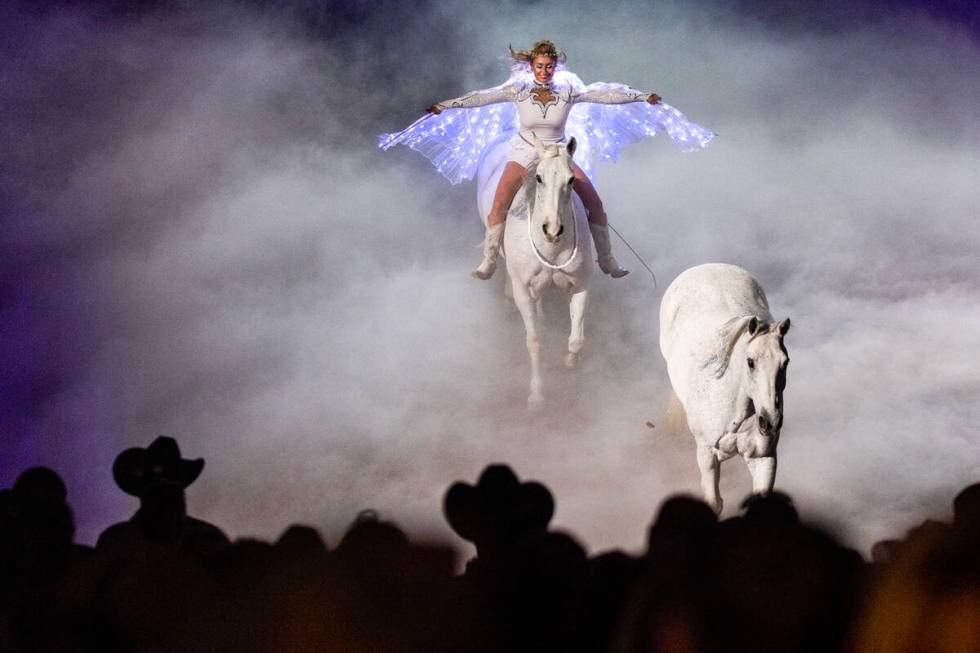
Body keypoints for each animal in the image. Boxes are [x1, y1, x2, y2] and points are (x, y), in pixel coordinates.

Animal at [476, 134, 592, 404]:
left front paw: (570, 361)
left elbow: (576, 339)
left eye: (571, 179)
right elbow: (534, 341)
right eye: (539, 177)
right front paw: (537, 396)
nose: (552, 229)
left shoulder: (581, 285)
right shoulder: (523, 290)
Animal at [660, 262, 788, 512]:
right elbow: (714, 502)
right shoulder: (707, 457)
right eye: (750, 362)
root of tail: (707, 266)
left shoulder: (764, 458)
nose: (770, 422)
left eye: (785, 362)